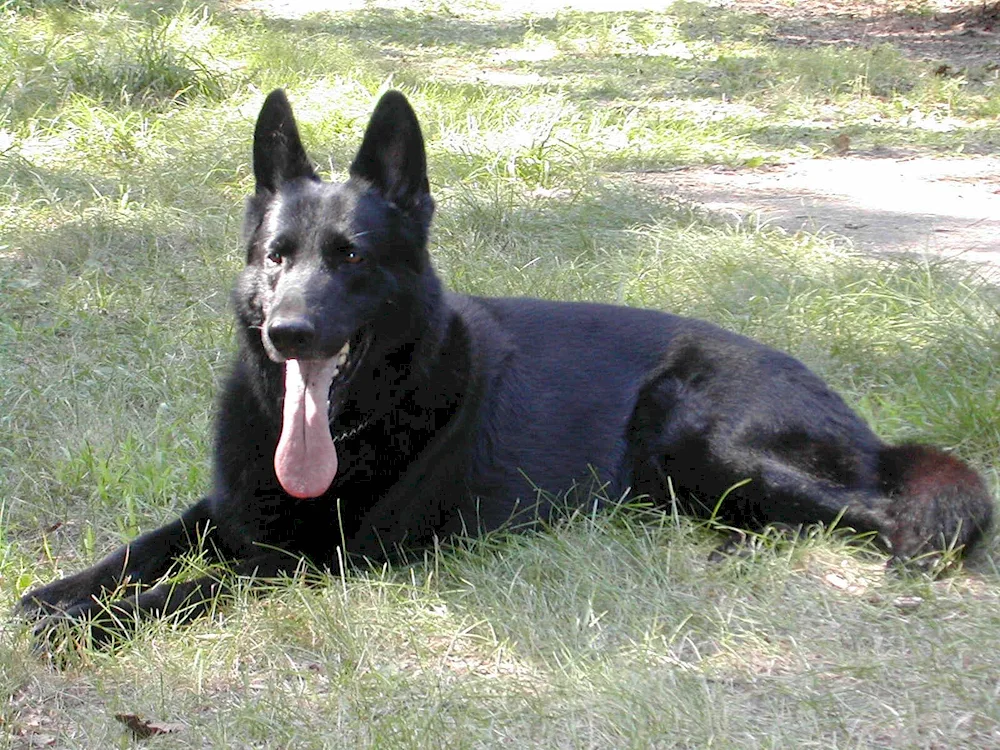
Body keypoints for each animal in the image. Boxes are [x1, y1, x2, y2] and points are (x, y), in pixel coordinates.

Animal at [21, 89, 992, 648]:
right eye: (276, 256)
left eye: (351, 259)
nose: (289, 333)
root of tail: (860, 424)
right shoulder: (229, 509)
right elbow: (145, 547)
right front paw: (61, 592)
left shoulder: (306, 559)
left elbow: (194, 584)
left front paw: (94, 623)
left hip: (698, 432)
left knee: (888, 512)